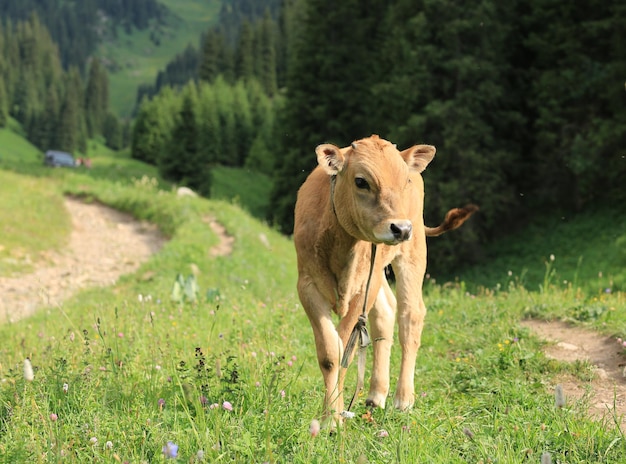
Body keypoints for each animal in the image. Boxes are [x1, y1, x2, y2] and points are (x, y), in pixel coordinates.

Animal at [292, 133, 472, 424]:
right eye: (361, 181)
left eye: (404, 181)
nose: (401, 228)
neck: (341, 246)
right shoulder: (306, 285)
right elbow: (331, 352)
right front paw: (332, 415)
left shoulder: (362, 287)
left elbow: (345, 350)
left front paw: (333, 417)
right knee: (386, 313)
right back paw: (377, 394)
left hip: (411, 255)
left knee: (410, 316)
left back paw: (403, 399)